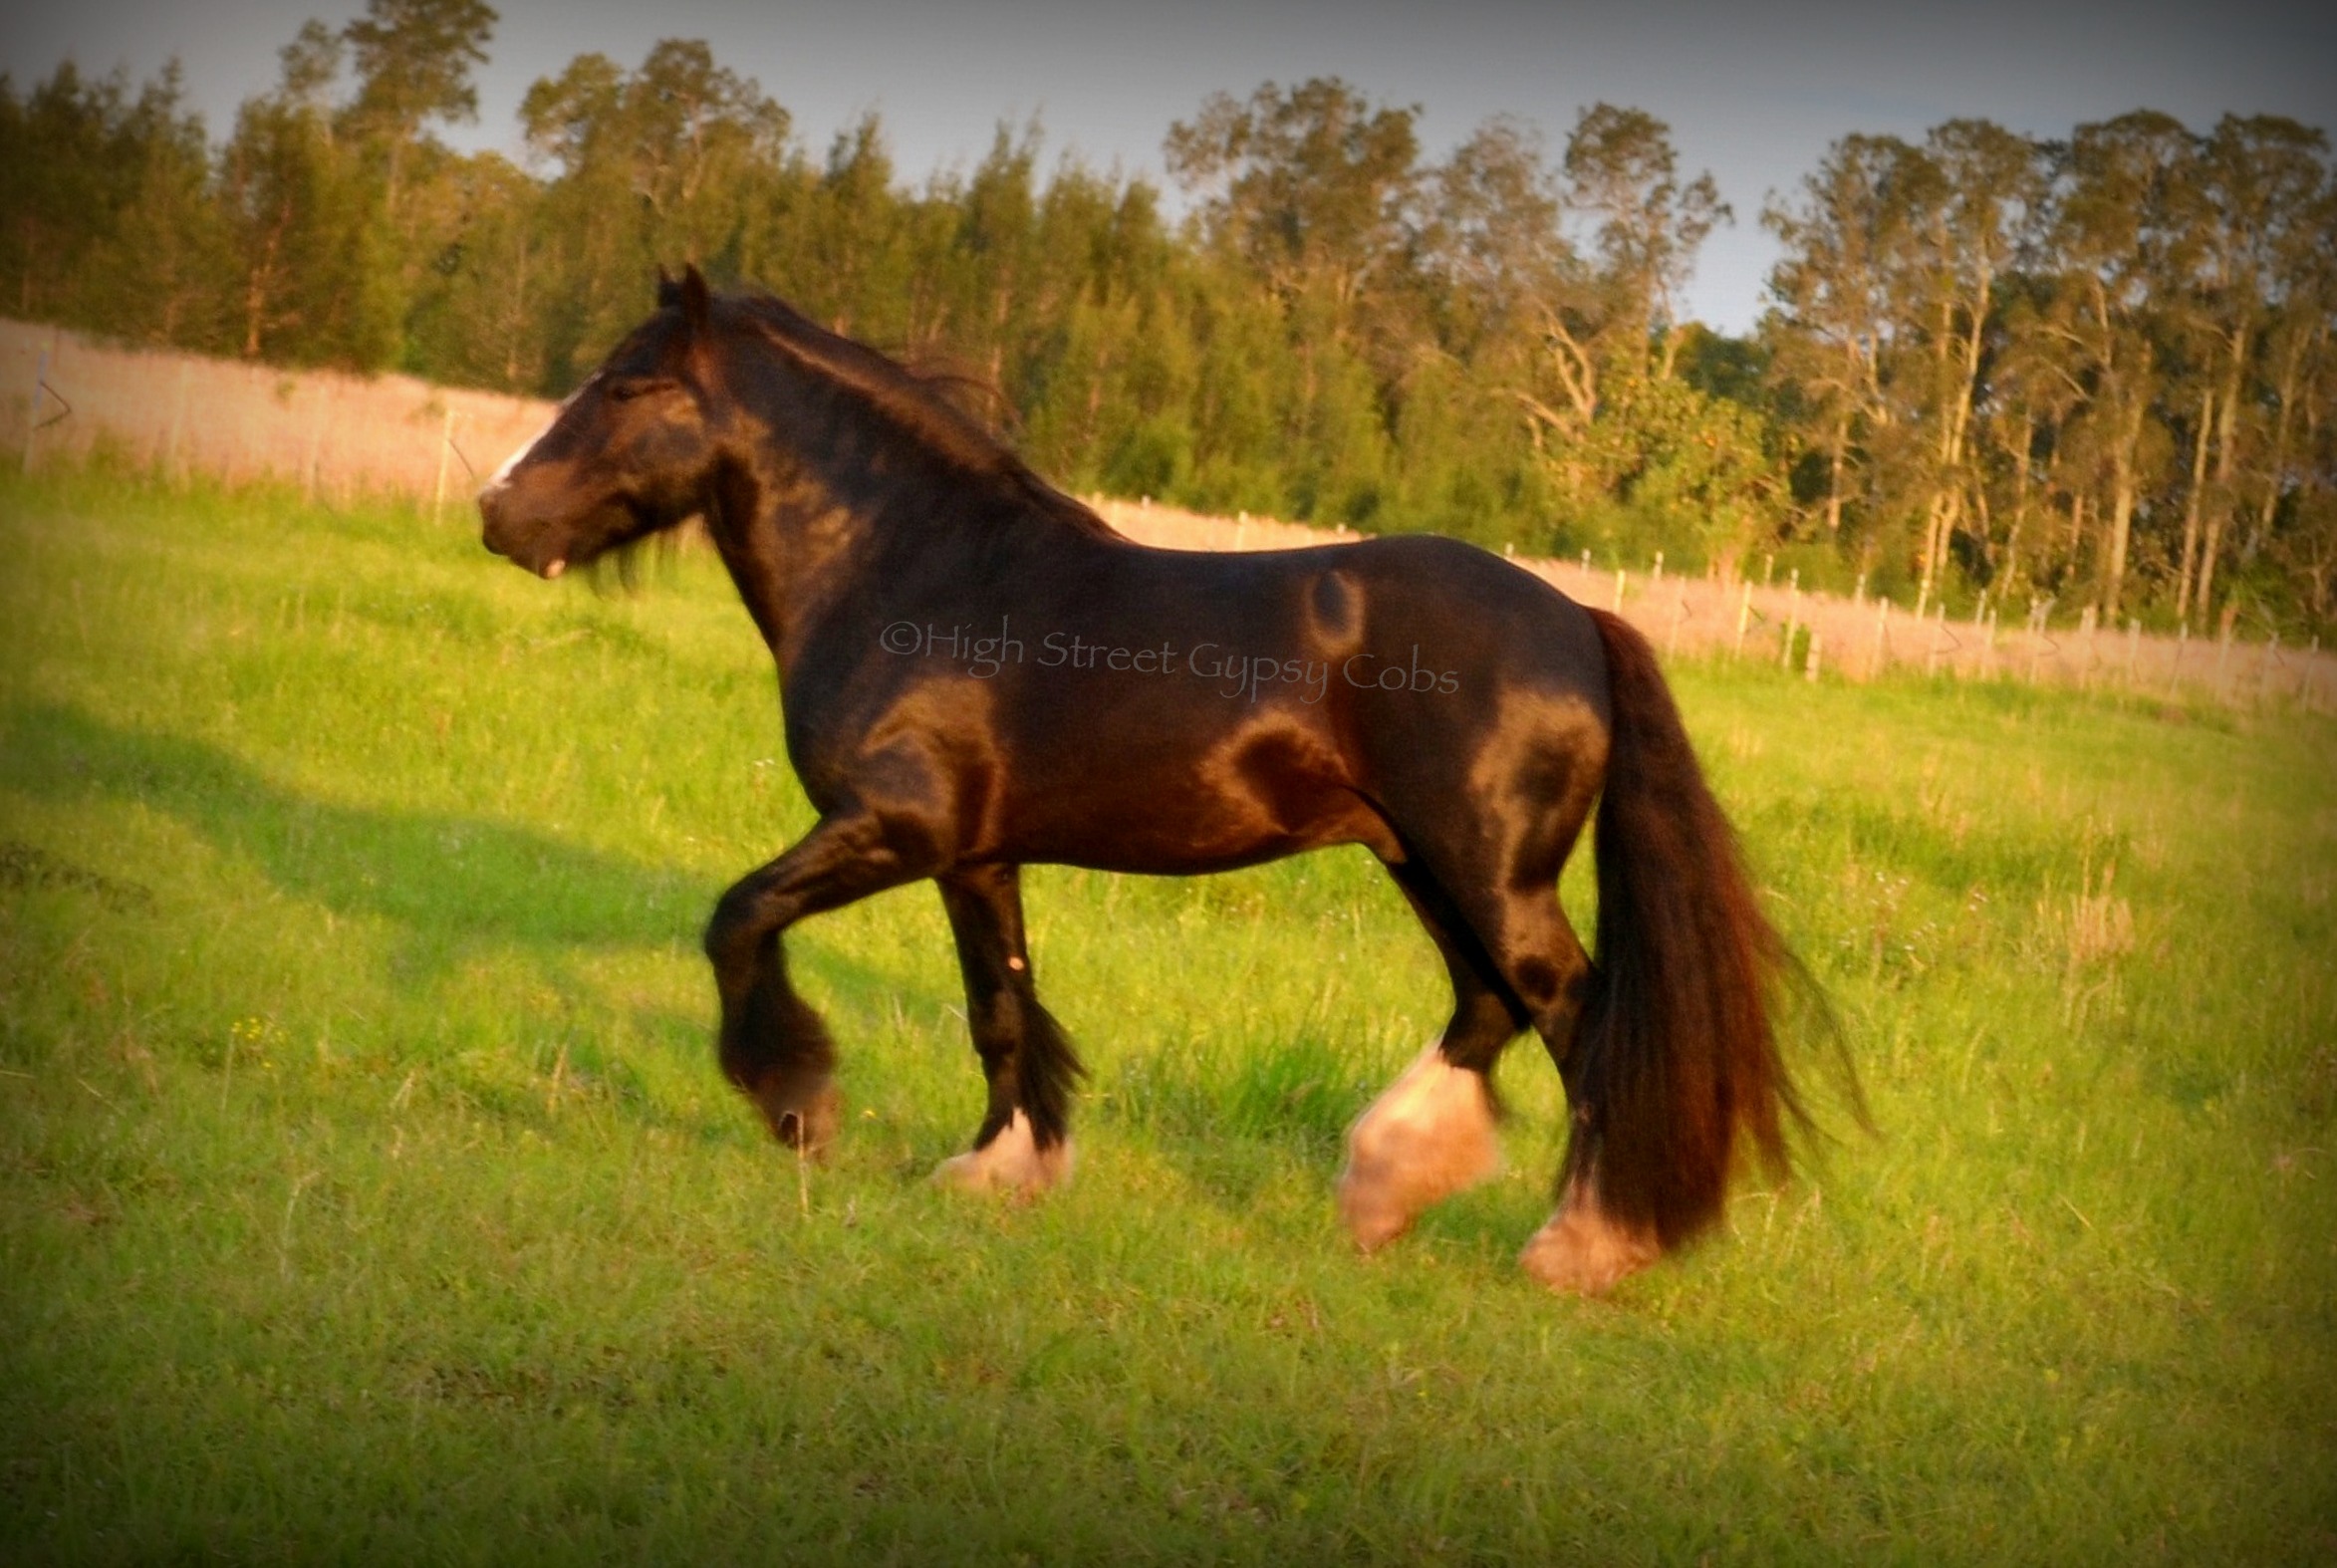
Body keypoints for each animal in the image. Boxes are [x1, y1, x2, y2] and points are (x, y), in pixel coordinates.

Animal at [478, 273, 1822, 1299]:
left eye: (630, 385)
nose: (498, 513)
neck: (920, 573)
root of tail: (1581, 621)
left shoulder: (891, 828)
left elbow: (737, 917)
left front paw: (800, 1102)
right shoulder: (975, 854)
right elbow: (1001, 1007)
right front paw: (998, 1171)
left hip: (1491, 873)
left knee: (1578, 1021)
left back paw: (1582, 1245)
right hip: (1421, 860)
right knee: (1488, 1008)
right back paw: (1382, 1195)